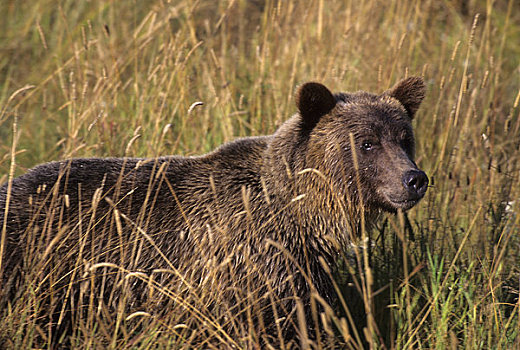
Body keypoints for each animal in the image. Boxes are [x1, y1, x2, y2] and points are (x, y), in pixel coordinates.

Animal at [1, 76, 426, 348]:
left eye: (404, 138)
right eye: (367, 143)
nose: (414, 179)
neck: (299, 215)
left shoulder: (299, 268)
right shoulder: (244, 270)